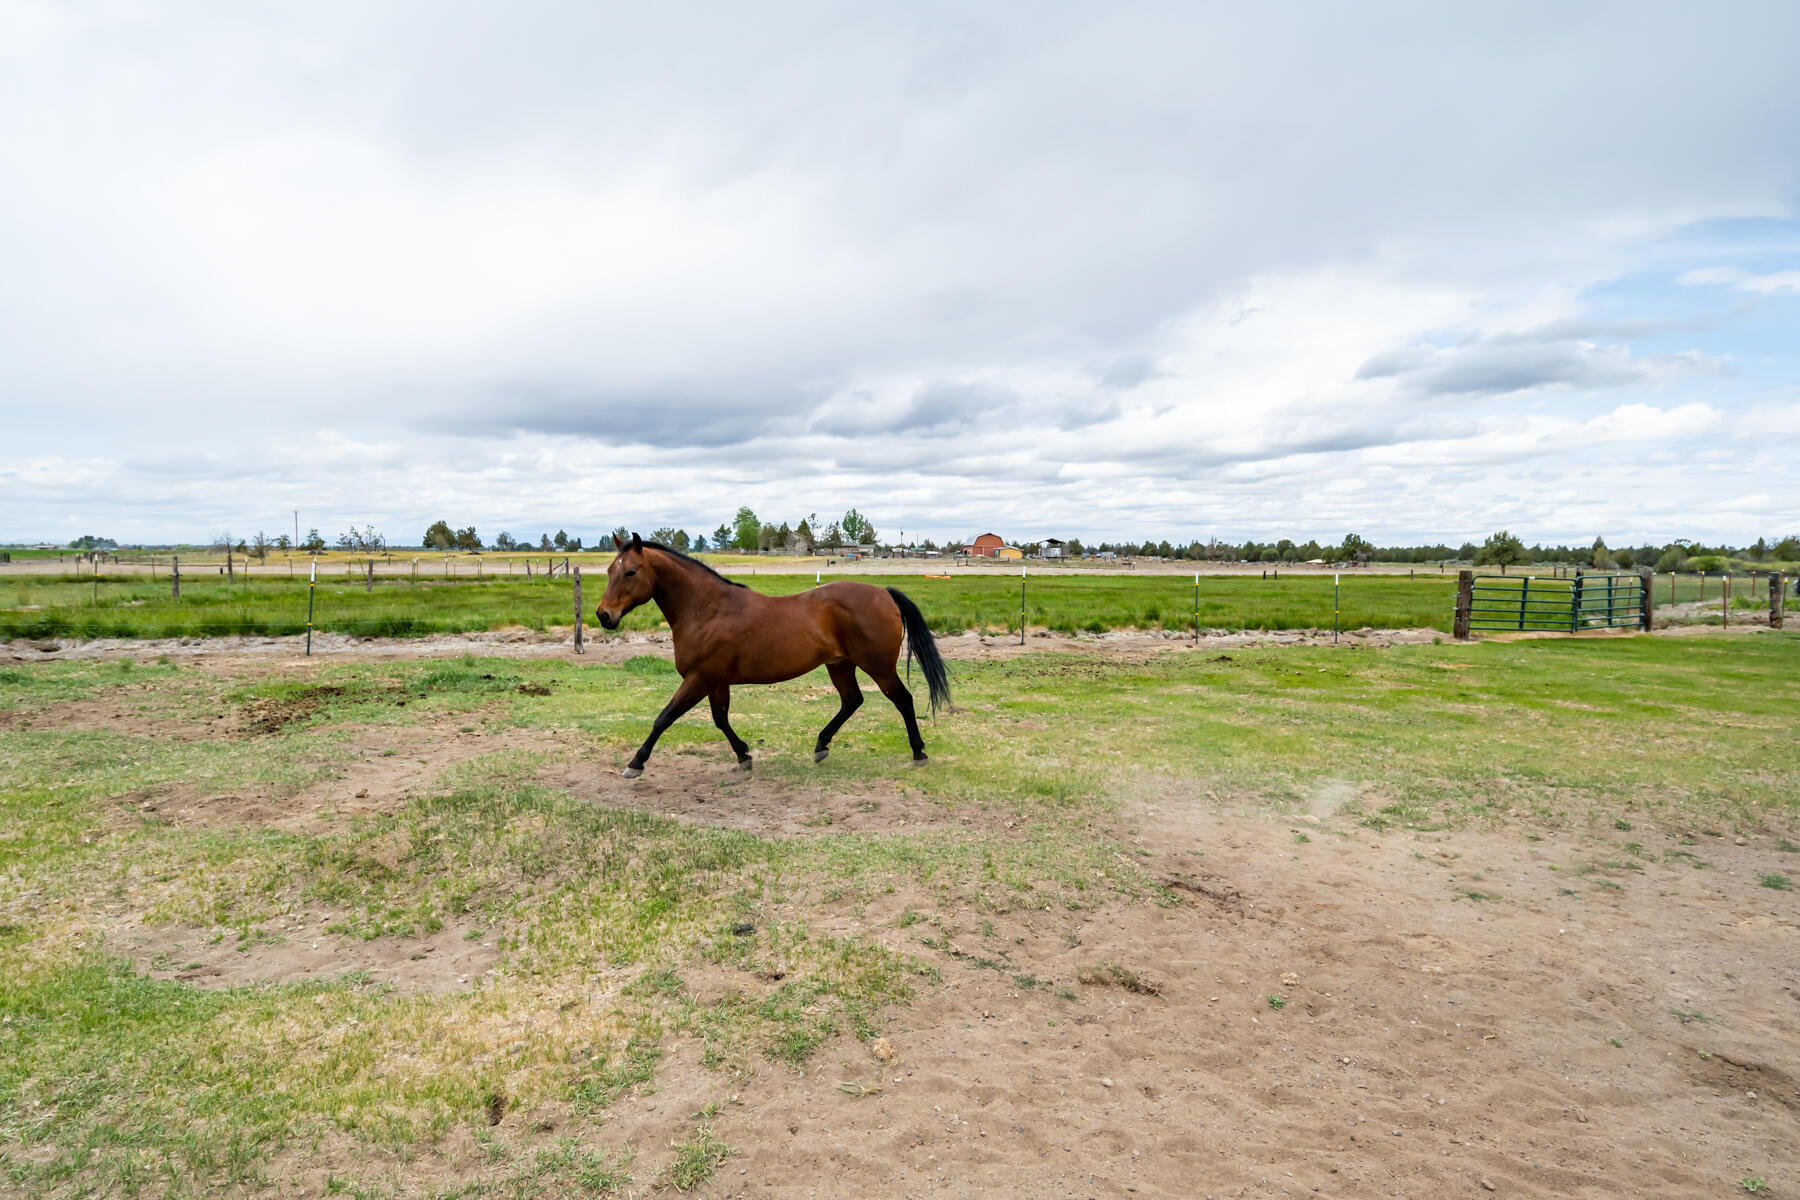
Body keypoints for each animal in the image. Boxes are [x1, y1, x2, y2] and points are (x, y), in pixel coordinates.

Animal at [595, 533, 951, 778]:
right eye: (610, 570)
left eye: (631, 572)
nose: (603, 615)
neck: (706, 610)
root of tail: (883, 593)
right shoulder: (716, 682)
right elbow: (720, 720)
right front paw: (744, 755)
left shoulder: (699, 679)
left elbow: (664, 718)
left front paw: (635, 763)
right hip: (840, 665)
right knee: (852, 701)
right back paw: (821, 745)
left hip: (878, 666)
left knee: (903, 700)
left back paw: (918, 753)